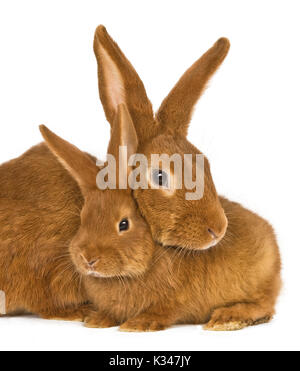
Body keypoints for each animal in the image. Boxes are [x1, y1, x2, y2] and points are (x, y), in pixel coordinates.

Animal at [39, 103, 282, 332]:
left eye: (124, 224)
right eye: (83, 218)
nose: (88, 259)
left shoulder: (178, 299)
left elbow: (165, 311)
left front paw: (138, 324)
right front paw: (98, 320)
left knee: (265, 306)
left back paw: (228, 318)